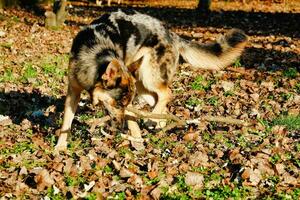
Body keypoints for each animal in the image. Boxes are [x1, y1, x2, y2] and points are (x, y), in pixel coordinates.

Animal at [55, 9, 247, 150]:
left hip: (149, 77)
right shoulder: (73, 92)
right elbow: (66, 122)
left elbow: (133, 117)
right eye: (119, 104)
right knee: (158, 100)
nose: (120, 127)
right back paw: (160, 121)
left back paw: (154, 119)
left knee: (167, 93)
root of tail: (171, 33)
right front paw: (60, 147)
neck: (95, 54)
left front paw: (137, 141)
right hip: (141, 83)